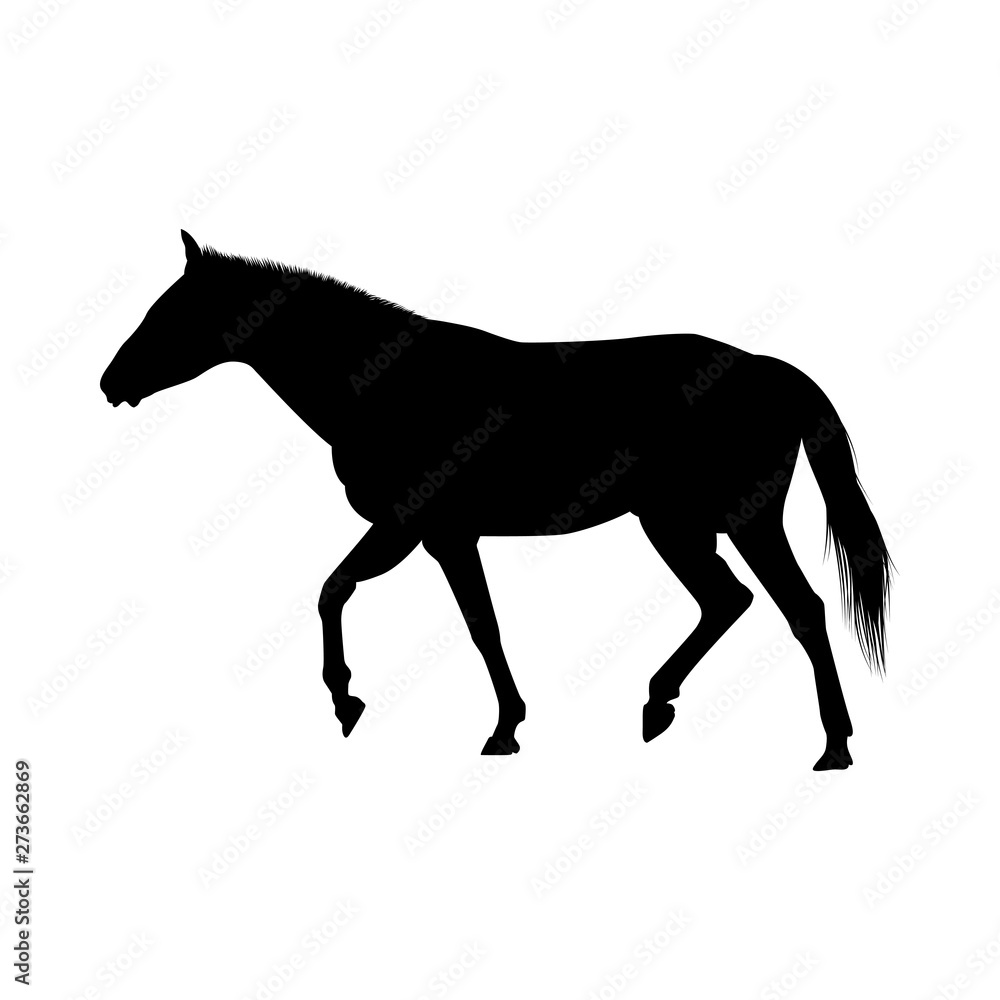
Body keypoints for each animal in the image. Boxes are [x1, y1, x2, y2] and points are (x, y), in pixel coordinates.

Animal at [101, 231, 891, 769]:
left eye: (171, 314)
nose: (110, 383)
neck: (387, 385)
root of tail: (768, 371)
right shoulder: (416, 531)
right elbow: (350, 593)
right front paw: (360, 702)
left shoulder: (435, 532)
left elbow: (466, 622)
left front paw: (490, 725)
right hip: (676, 524)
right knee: (728, 601)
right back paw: (658, 704)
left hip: (740, 519)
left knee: (799, 608)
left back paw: (833, 746)